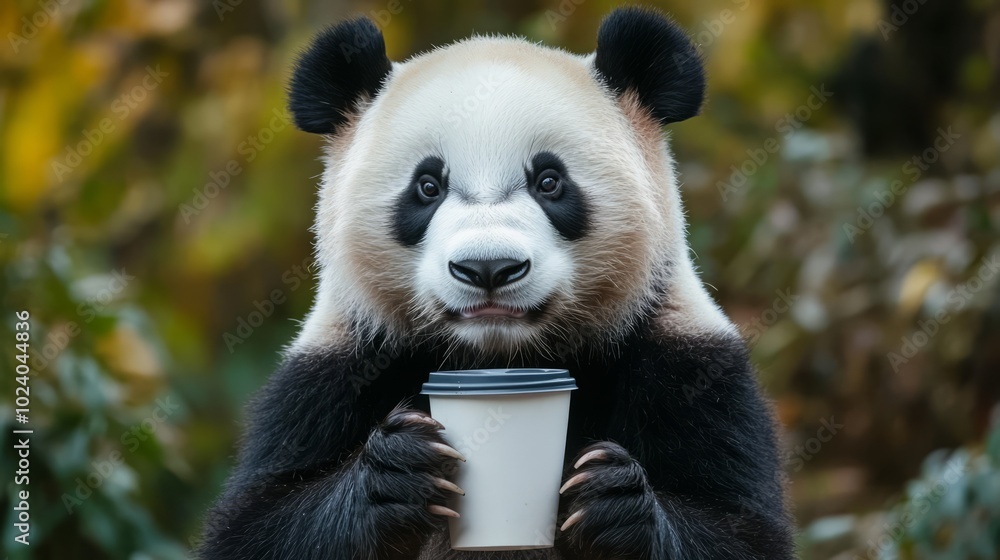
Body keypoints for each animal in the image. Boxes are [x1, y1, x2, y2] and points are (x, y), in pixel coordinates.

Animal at [200, 7, 794, 560]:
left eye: (550, 181)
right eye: (428, 186)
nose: (489, 268)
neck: (498, 356)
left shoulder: (685, 360)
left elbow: (743, 530)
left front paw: (612, 502)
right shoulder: (336, 368)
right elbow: (256, 525)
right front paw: (394, 477)